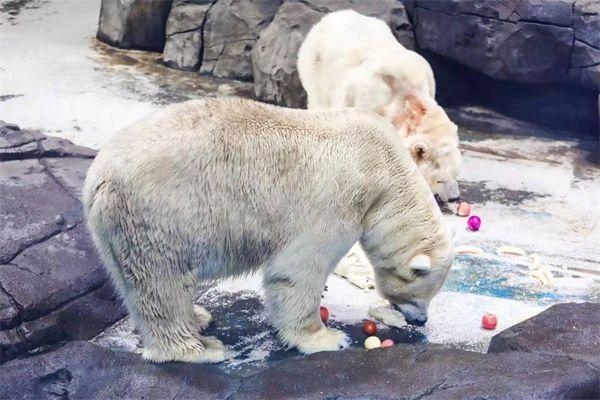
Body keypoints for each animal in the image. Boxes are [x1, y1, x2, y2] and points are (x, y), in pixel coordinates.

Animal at [82, 97, 452, 362]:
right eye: (421, 292)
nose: (420, 321)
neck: (384, 170)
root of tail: (98, 179)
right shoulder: (338, 200)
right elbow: (298, 269)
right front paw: (327, 339)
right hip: (161, 214)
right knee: (163, 282)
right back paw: (202, 348)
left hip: (117, 229)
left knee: (133, 281)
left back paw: (198, 316)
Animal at [298, 8, 462, 203]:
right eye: (440, 180)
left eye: (456, 173)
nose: (455, 198)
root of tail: (335, 15)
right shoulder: (367, 102)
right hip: (317, 69)